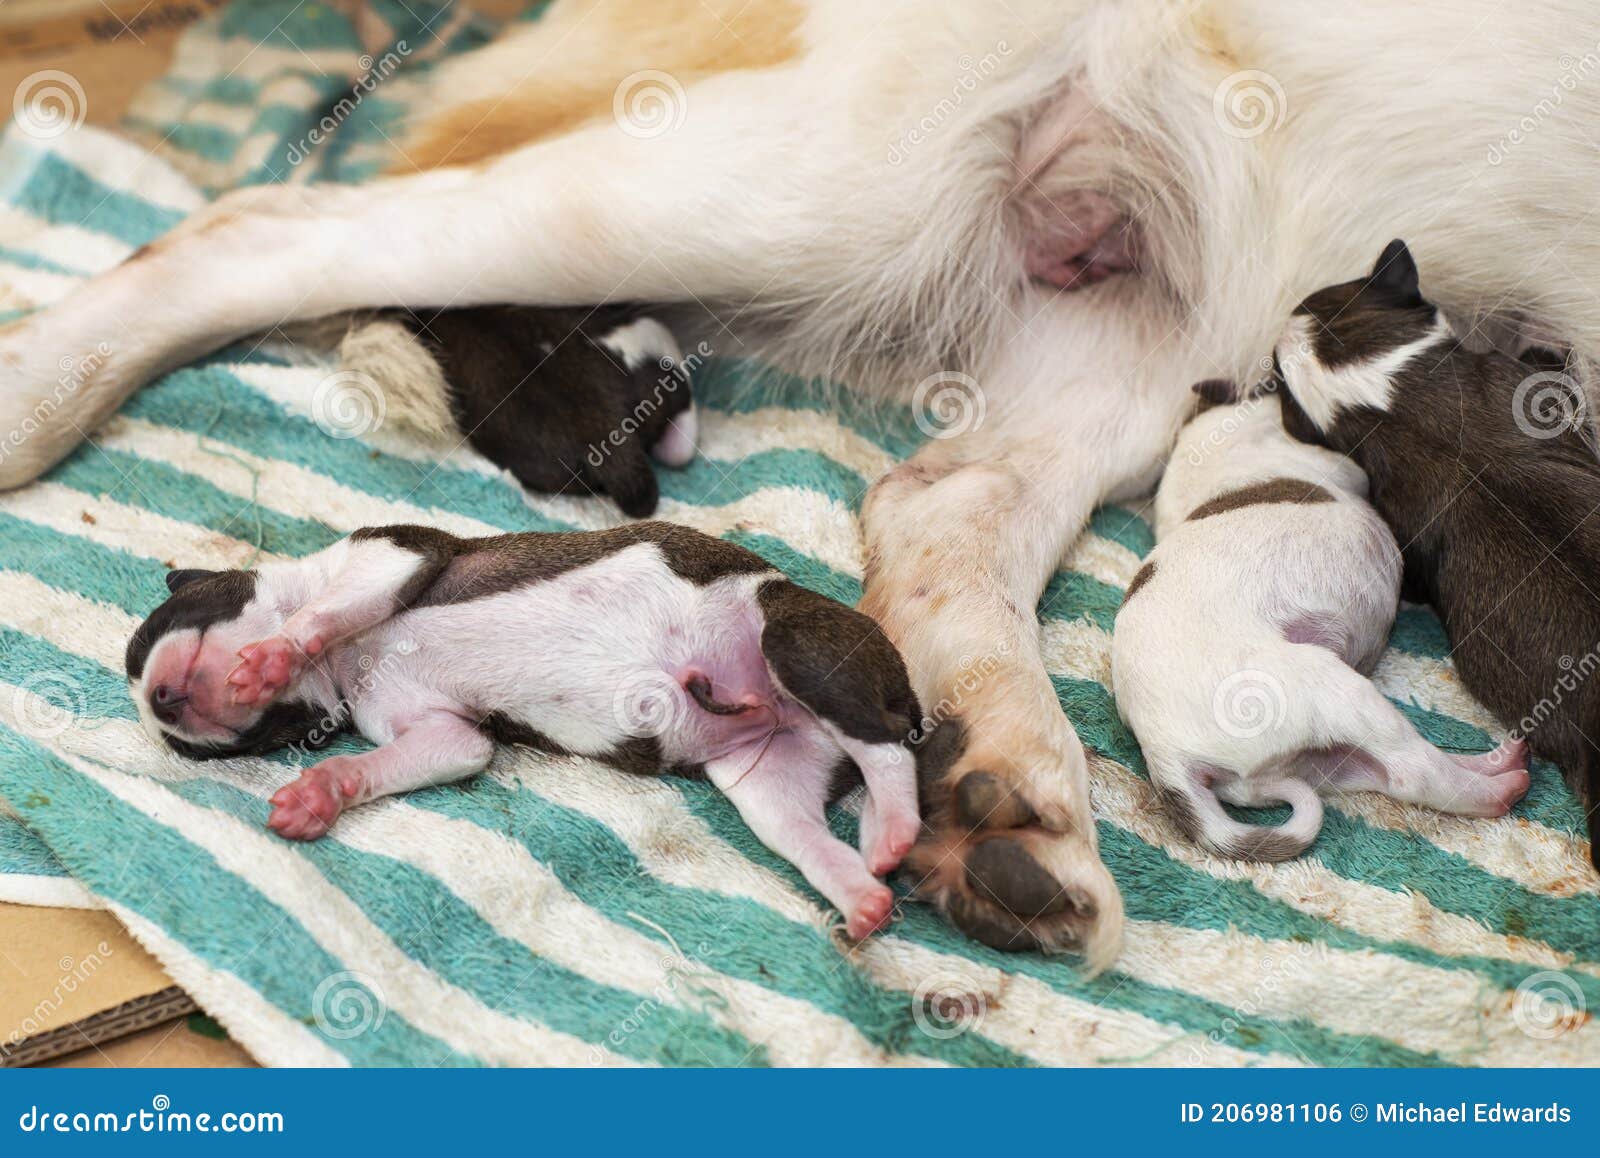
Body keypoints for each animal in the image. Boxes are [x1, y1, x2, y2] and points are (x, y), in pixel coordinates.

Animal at [121, 524, 928, 940]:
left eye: (159, 626)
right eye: (242, 746)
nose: (161, 705)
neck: (346, 667)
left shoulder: (395, 552)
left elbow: (323, 611)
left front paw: (269, 658)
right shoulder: (443, 733)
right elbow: (409, 756)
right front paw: (318, 792)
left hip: (796, 645)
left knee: (886, 742)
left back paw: (892, 828)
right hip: (763, 777)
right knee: (802, 829)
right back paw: (863, 892)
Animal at [1107, 382, 1529, 857]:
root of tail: (1166, 757)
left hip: (1314, 763)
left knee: (1390, 772)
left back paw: (1491, 764)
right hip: (1330, 689)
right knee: (1415, 773)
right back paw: (1500, 784)